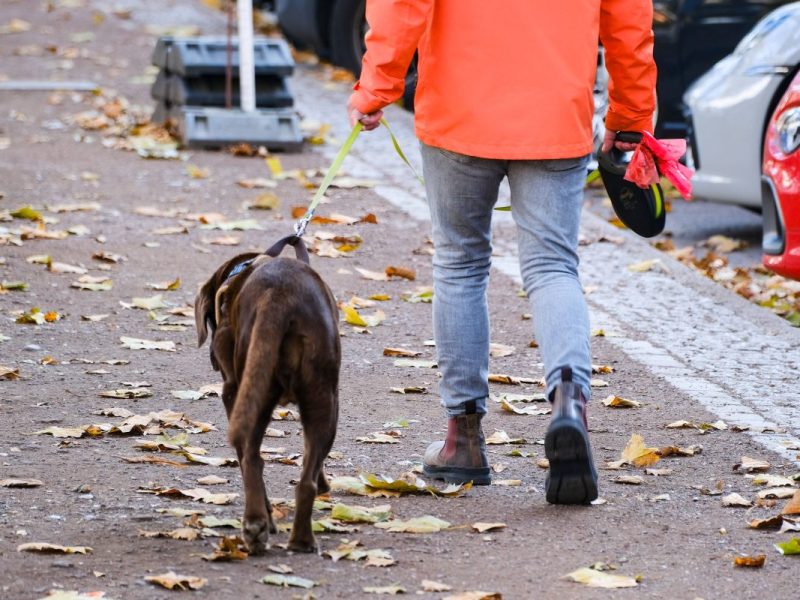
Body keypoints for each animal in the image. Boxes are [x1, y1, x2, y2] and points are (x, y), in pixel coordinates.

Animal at [198, 243, 342, 552]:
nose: (213, 357)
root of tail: (278, 298)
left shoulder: (232, 391)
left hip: (256, 394)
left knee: (252, 460)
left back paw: (258, 525)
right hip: (324, 400)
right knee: (304, 481)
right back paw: (300, 540)